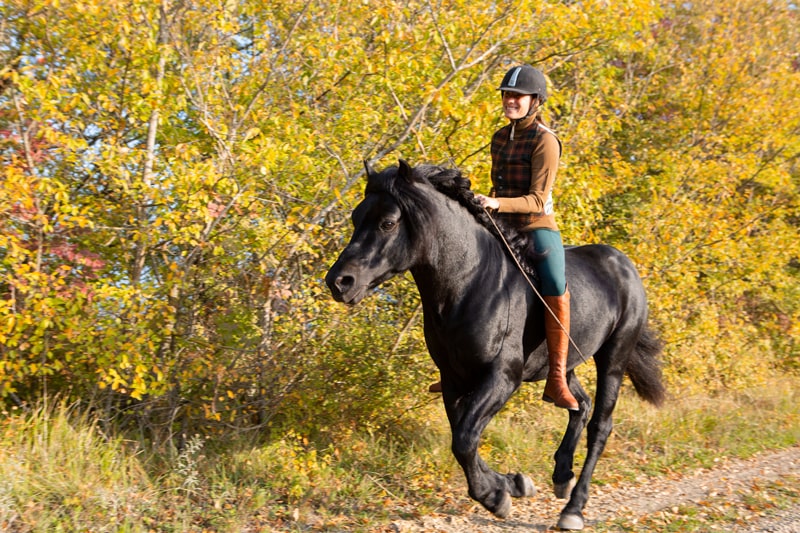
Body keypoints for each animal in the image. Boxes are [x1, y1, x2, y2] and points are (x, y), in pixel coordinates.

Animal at [322, 159, 664, 528]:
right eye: (356, 218)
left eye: (387, 222)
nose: (339, 282)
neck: (469, 282)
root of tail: (624, 265)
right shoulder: (454, 380)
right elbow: (462, 437)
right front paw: (511, 484)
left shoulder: (502, 377)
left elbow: (464, 439)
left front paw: (495, 496)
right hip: (561, 366)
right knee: (579, 405)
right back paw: (561, 476)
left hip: (613, 358)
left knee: (600, 425)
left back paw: (573, 508)